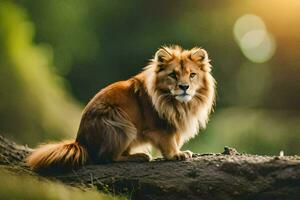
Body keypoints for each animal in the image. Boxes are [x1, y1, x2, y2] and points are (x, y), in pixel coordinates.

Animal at [26, 45, 216, 172]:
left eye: (192, 75)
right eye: (173, 75)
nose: (184, 87)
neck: (177, 102)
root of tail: (80, 141)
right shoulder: (161, 128)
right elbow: (169, 143)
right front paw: (177, 154)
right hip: (120, 124)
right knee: (108, 158)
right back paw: (140, 157)